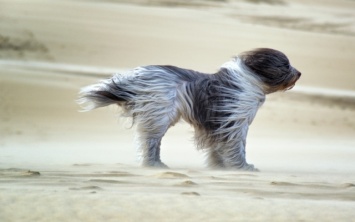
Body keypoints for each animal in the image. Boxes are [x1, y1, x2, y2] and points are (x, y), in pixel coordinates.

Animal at [78, 47, 300, 171]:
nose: (299, 73)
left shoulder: (217, 123)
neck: (249, 80)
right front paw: (242, 167)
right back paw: (153, 164)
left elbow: (217, 147)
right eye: (285, 65)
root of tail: (138, 75)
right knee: (149, 141)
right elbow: (236, 146)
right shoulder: (234, 121)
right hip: (159, 114)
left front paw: (219, 167)